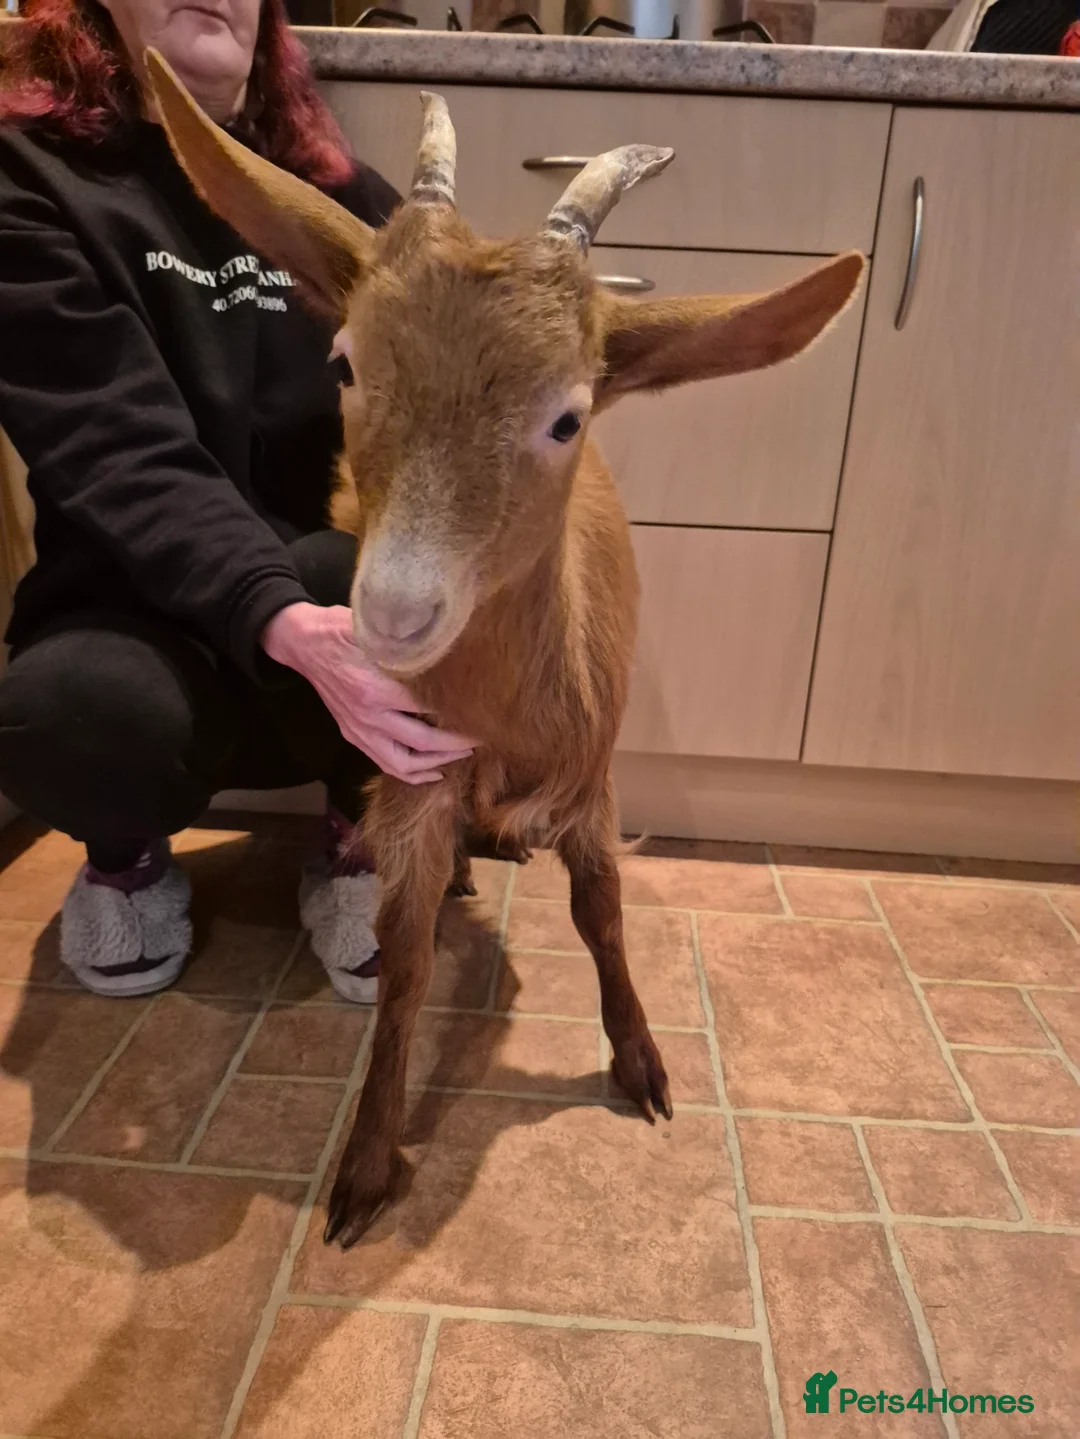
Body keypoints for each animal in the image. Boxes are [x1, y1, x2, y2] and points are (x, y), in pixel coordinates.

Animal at [147, 51, 865, 1249]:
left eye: (568, 416)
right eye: (344, 364)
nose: (392, 615)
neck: (504, 722)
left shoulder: (595, 772)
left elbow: (603, 913)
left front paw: (641, 1061)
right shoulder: (412, 774)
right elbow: (404, 957)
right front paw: (369, 1160)